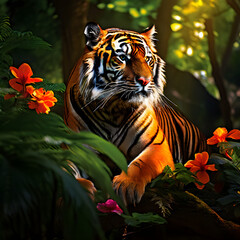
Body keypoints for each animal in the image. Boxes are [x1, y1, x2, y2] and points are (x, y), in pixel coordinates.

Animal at [63, 22, 206, 204]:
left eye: (148, 59)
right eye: (123, 58)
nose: (145, 81)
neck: (112, 109)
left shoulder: (156, 146)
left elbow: (141, 164)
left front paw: (127, 186)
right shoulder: (76, 147)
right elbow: (63, 166)